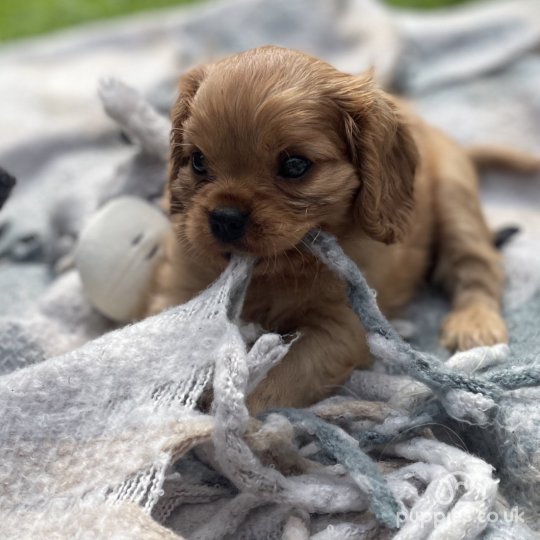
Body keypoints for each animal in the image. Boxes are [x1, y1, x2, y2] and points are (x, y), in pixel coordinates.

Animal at [143, 46, 506, 414]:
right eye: (198, 161)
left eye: (295, 165)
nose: (224, 218)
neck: (274, 273)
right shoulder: (179, 286)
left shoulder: (342, 324)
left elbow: (280, 378)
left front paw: (233, 415)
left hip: (455, 201)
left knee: (478, 267)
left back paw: (475, 325)